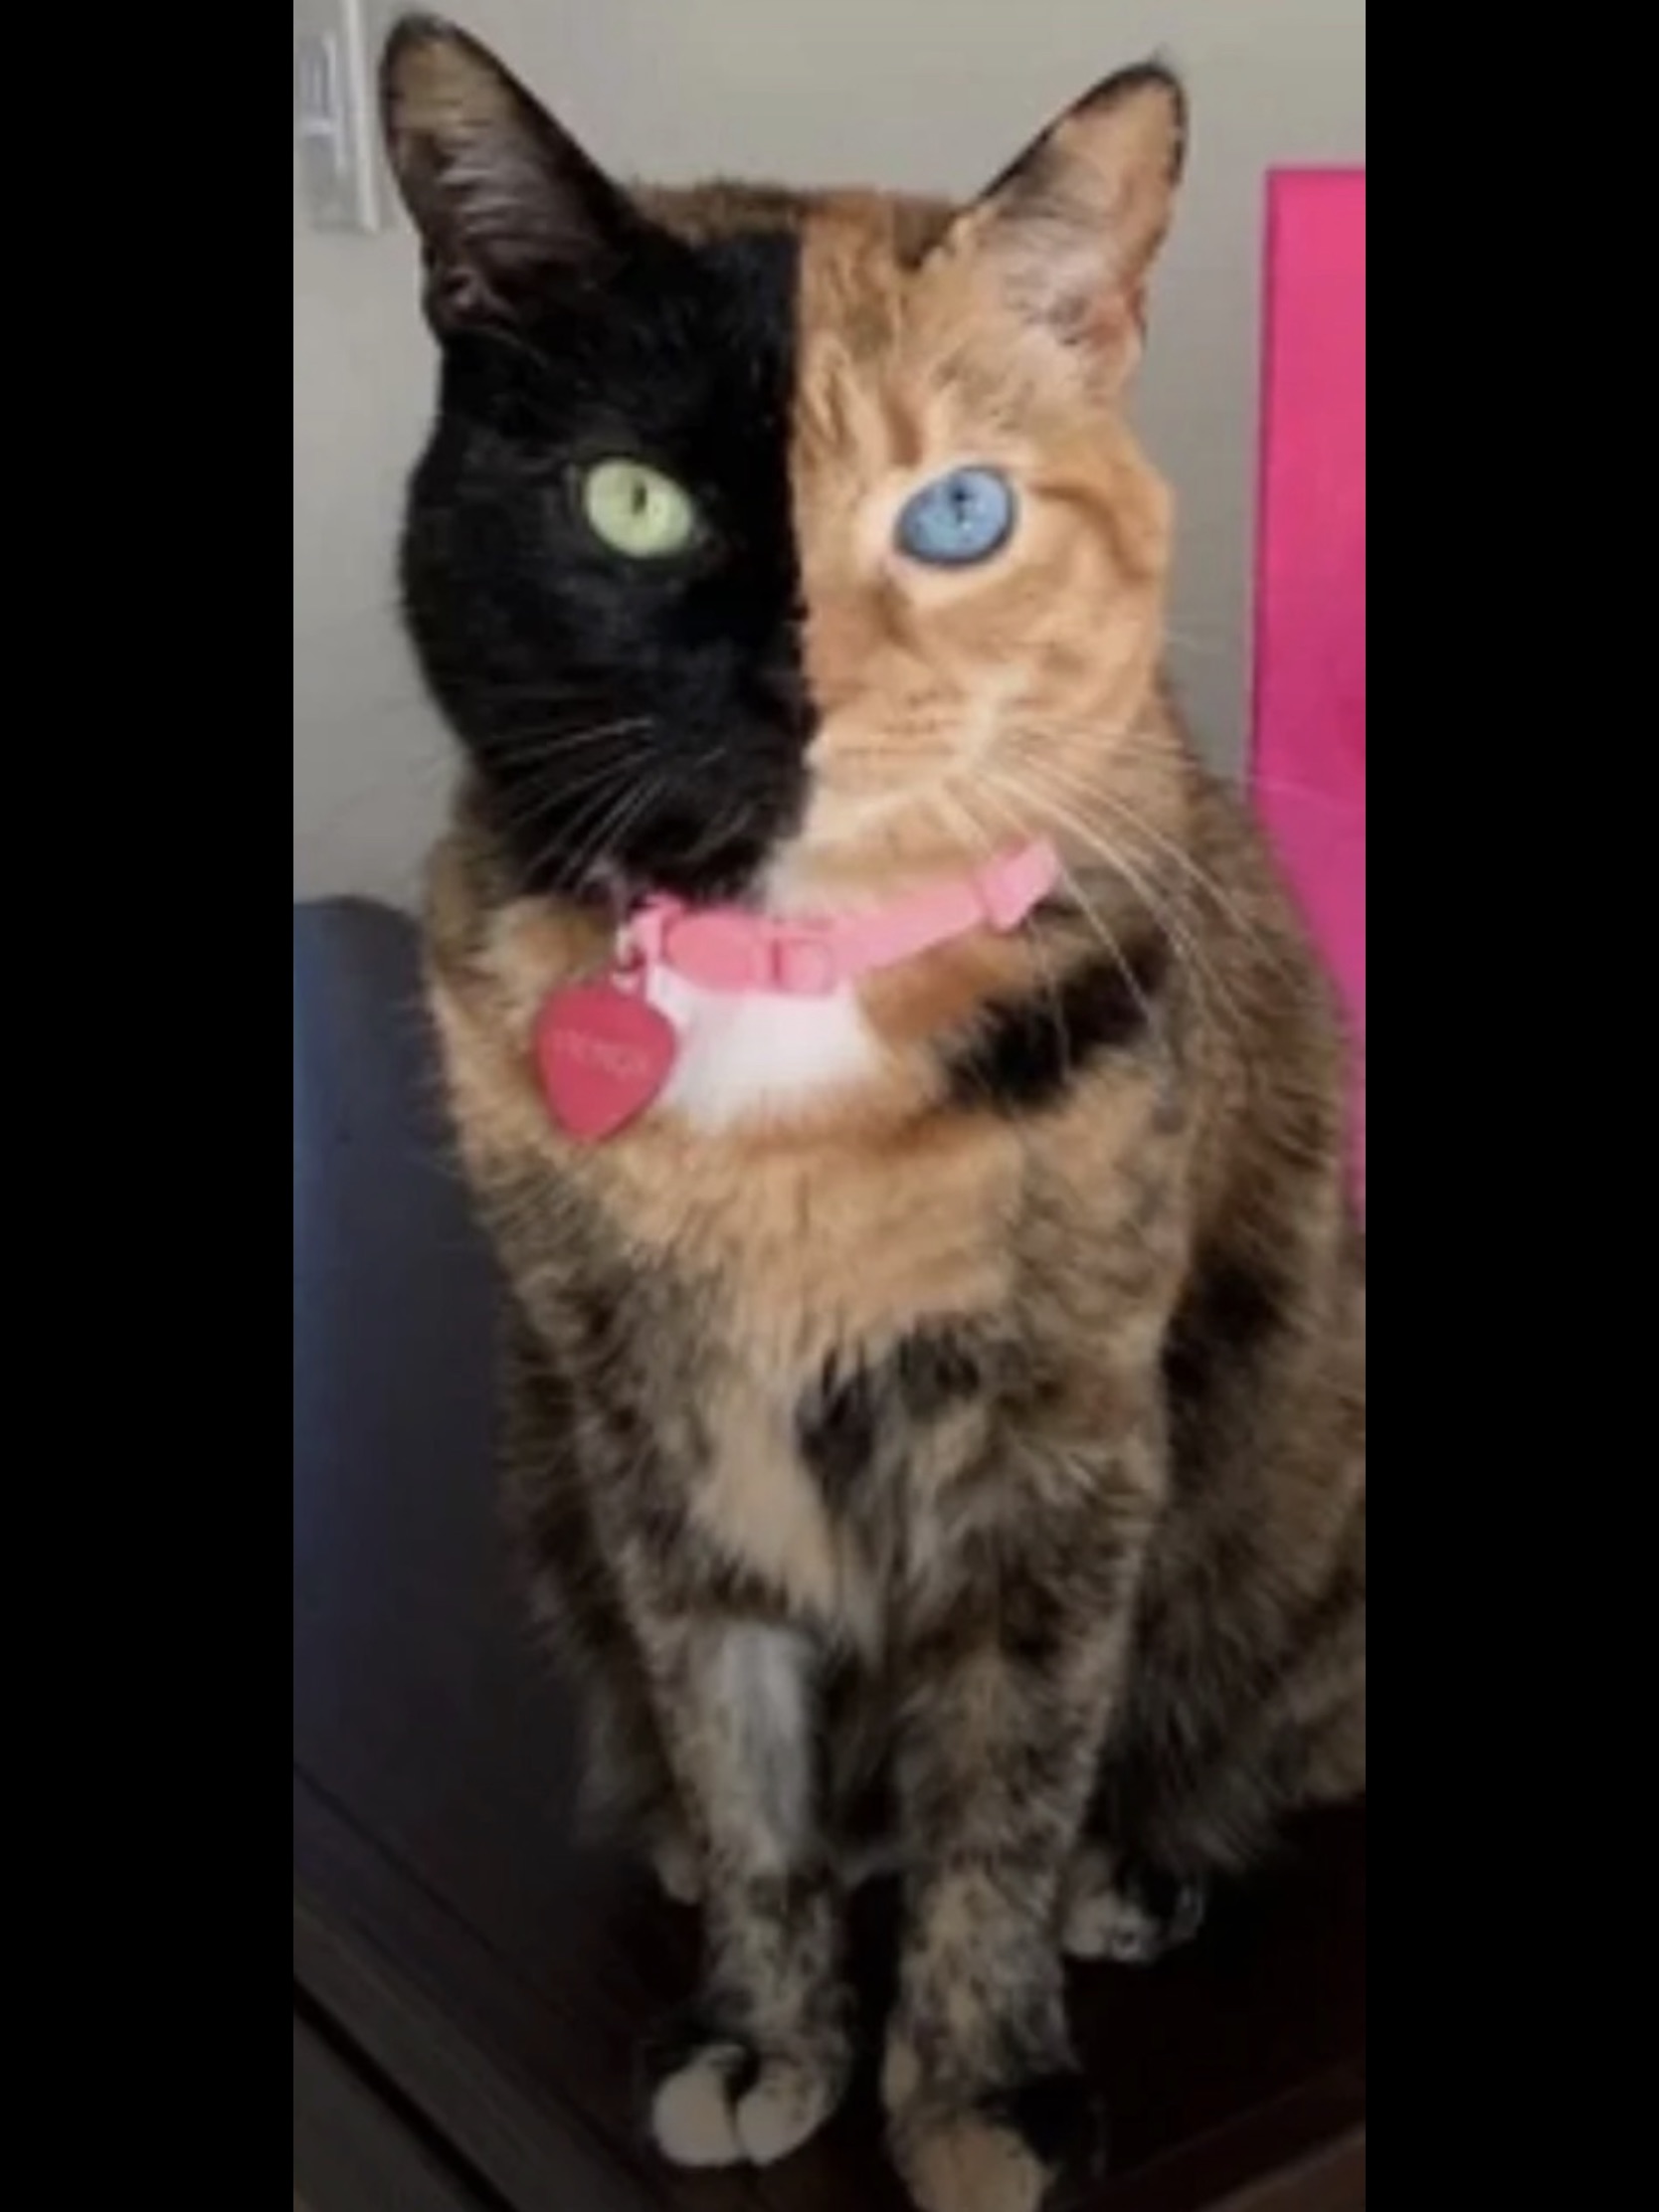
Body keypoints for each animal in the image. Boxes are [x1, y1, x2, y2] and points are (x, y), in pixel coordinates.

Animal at [380, 19, 1367, 2212]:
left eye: (960, 509)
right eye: (634, 502)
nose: (794, 686)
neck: (785, 996)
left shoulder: (1057, 1421)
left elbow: (1002, 1772)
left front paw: (978, 2083)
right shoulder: (653, 1409)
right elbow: (732, 1734)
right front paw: (765, 2024)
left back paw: (1140, 1865)